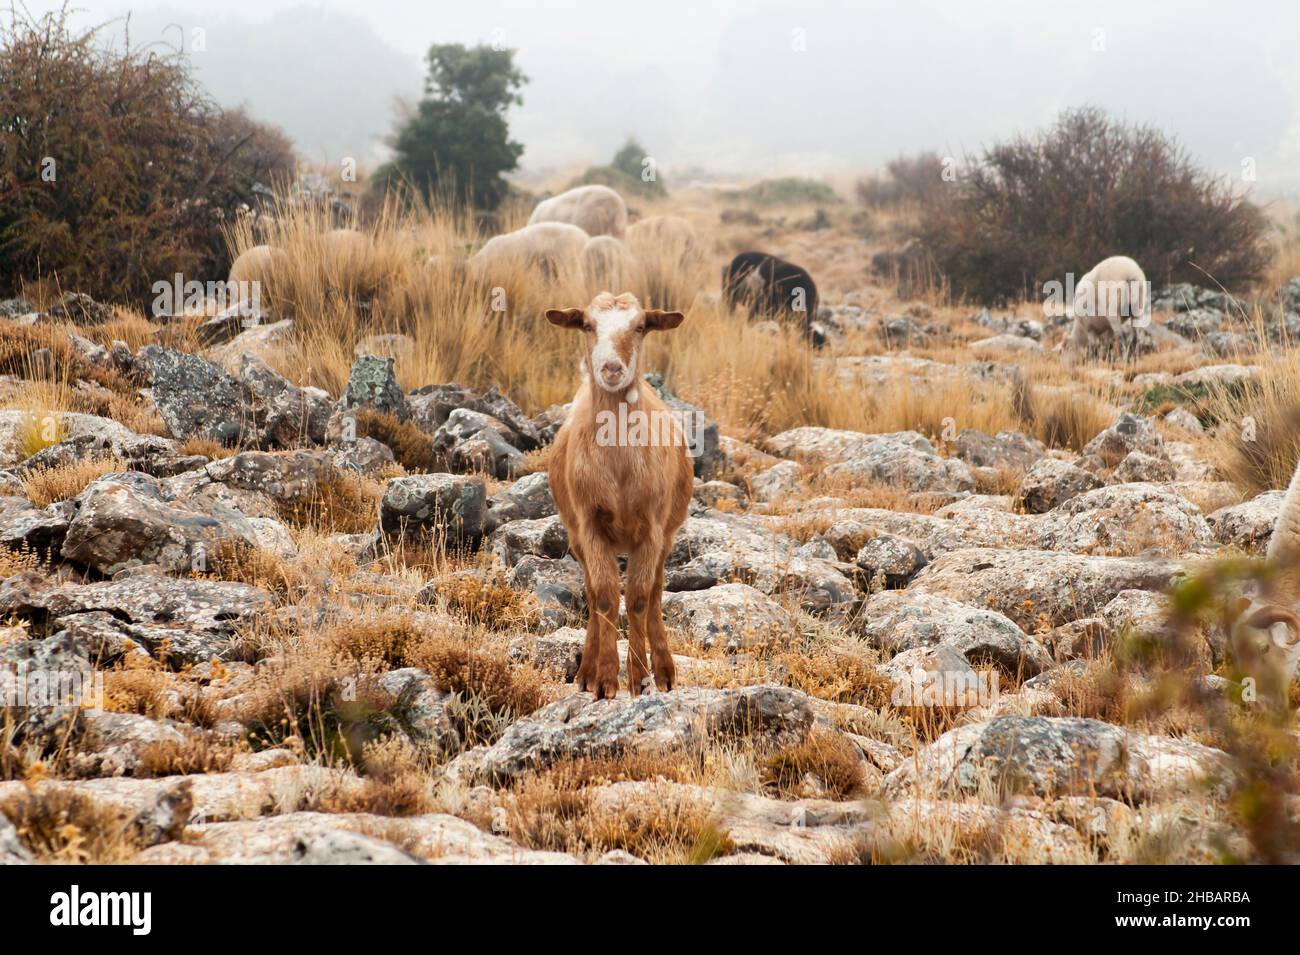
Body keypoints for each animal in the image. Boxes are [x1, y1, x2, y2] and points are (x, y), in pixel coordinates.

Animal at [545, 292, 694, 699]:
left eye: (640, 326)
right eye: (587, 325)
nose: (611, 368)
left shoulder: (653, 529)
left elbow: (640, 599)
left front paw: (640, 678)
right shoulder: (590, 525)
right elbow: (606, 597)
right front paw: (604, 681)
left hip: (668, 535)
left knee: (655, 593)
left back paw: (663, 672)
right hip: (576, 536)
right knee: (594, 593)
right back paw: (585, 672)